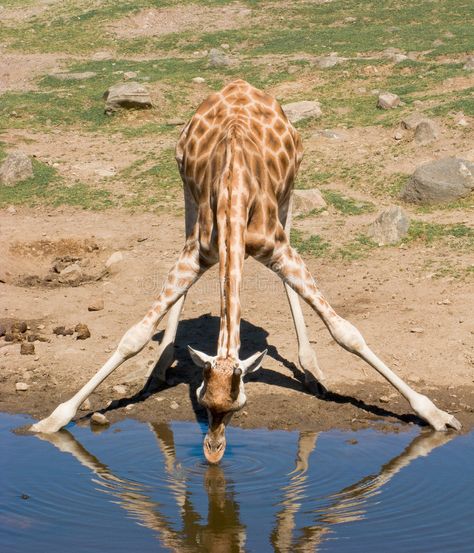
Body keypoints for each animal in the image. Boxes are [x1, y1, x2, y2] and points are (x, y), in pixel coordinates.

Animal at [31, 80, 462, 464]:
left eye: (238, 404)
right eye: (203, 399)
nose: (213, 453)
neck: (234, 192)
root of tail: (240, 84)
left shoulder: (276, 246)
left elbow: (346, 332)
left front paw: (437, 416)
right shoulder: (200, 251)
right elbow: (133, 336)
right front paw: (51, 421)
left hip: (290, 192)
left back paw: (312, 369)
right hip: (185, 189)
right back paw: (160, 366)